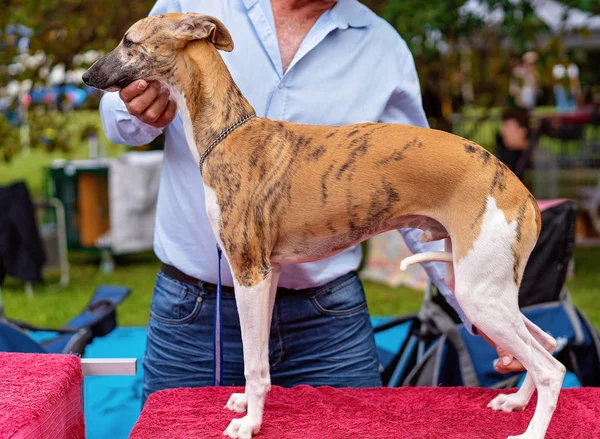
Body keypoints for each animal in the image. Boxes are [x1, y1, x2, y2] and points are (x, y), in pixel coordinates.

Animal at [82, 12, 564, 439]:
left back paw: (529, 432)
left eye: (128, 40)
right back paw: (515, 401)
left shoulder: (248, 270)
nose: (86, 76)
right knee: (546, 343)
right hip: (487, 288)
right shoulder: (269, 272)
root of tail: (524, 193)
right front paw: (247, 405)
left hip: (478, 293)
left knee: (552, 368)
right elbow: (261, 359)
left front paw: (249, 423)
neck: (230, 134)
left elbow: (253, 362)